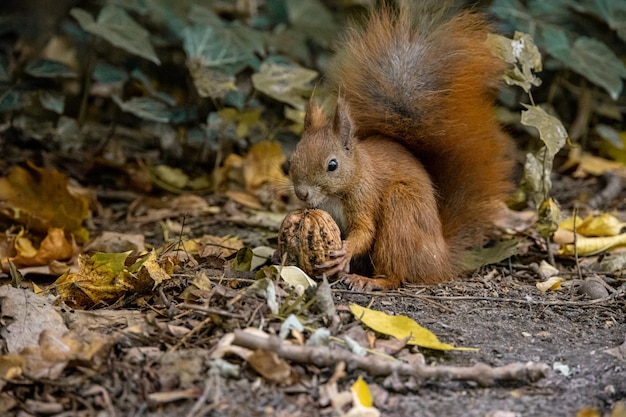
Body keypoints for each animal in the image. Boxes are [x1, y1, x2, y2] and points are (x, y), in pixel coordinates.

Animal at [288, 2, 512, 290]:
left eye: (332, 165)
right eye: (292, 159)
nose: (302, 193)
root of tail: (439, 258)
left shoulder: (366, 196)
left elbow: (366, 231)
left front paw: (345, 254)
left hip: (400, 212)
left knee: (395, 273)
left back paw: (367, 280)